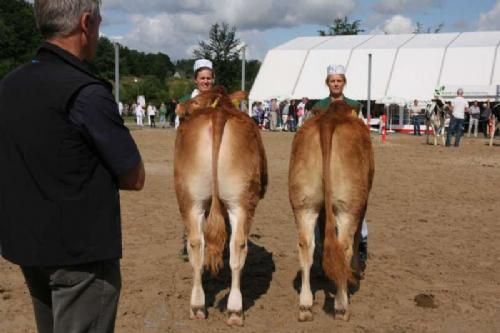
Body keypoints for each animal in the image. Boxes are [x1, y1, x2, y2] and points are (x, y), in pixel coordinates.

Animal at [174, 85, 268, 324]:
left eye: (194, 101)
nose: (179, 108)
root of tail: (218, 114)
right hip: (233, 201)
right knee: (227, 246)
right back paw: (221, 308)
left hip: (201, 200)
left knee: (209, 247)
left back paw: (215, 307)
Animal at [288, 100, 374, 320]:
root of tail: (328, 120)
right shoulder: (363, 203)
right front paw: (357, 270)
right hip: (348, 206)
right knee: (344, 246)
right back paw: (341, 305)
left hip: (304, 204)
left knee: (306, 245)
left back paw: (305, 305)